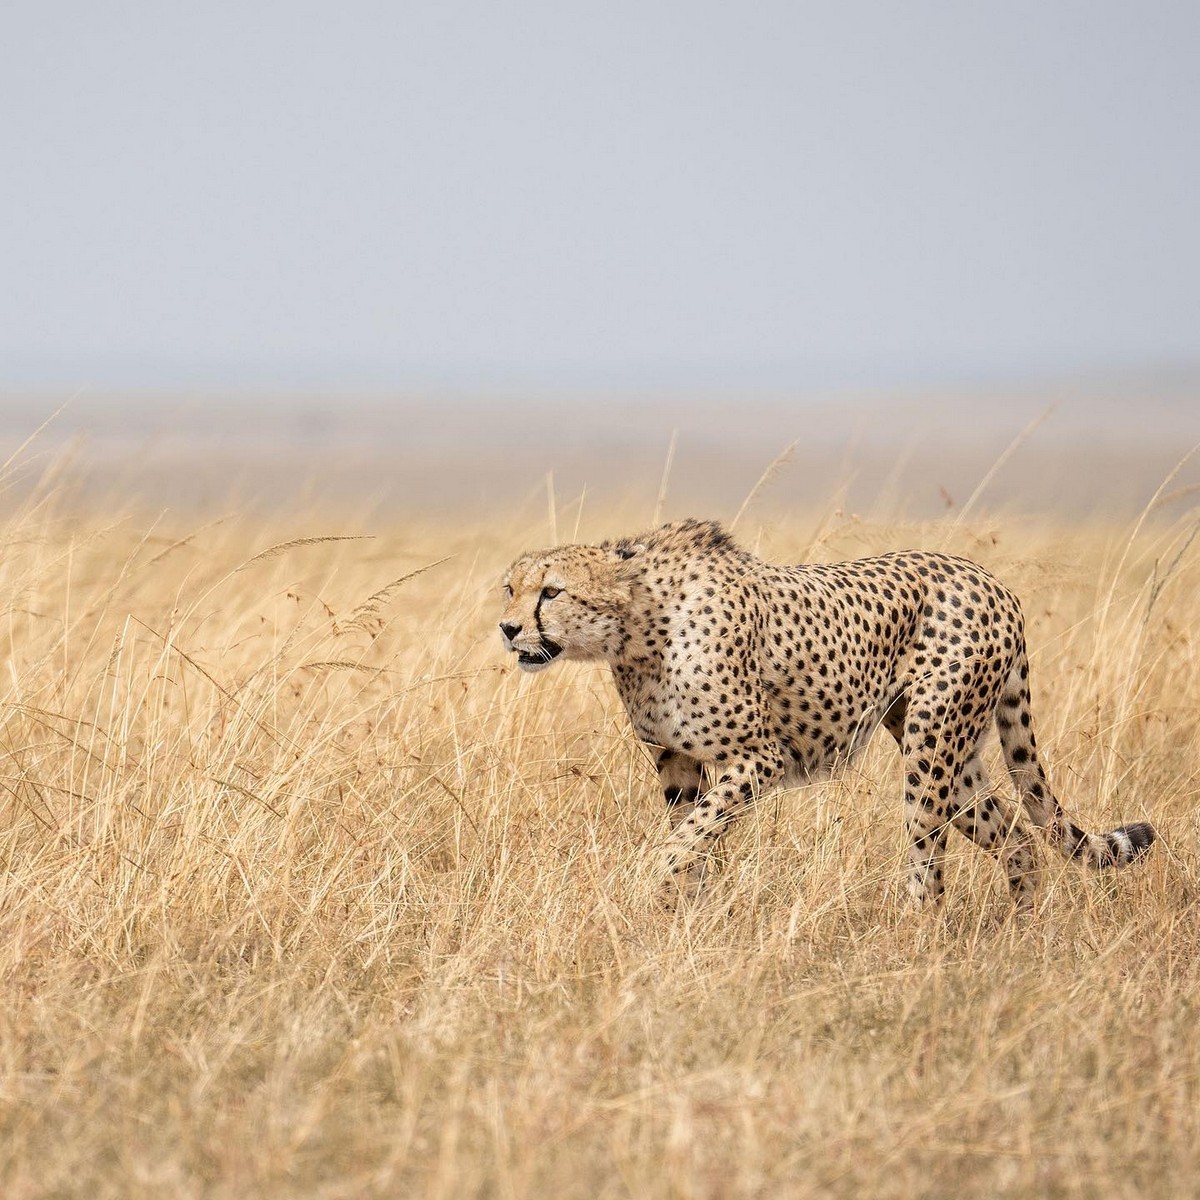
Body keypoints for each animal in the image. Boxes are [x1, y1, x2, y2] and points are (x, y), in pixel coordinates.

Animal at [496, 518, 1152, 907]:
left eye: (551, 591)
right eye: (510, 588)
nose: (507, 628)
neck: (638, 629)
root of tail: (990, 579)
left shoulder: (757, 757)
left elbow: (685, 838)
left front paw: (651, 885)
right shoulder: (678, 763)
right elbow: (694, 837)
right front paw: (684, 912)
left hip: (931, 745)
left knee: (929, 854)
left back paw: (917, 937)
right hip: (951, 752)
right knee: (1017, 836)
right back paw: (1019, 929)